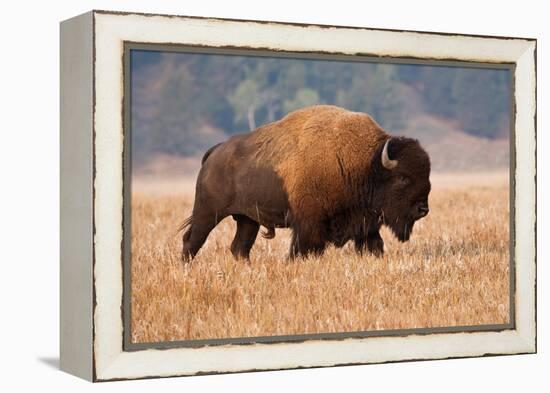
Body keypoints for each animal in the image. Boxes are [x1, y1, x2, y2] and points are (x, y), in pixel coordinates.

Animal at [181, 105, 432, 260]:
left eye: (426, 176)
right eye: (403, 177)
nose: (423, 209)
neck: (366, 164)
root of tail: (214, 152)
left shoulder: (365, 226)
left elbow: (375, 246)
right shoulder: (309, 225)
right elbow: (302, 250)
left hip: (247, 219)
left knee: (239, 248)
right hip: (208, 213)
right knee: (192, 241)